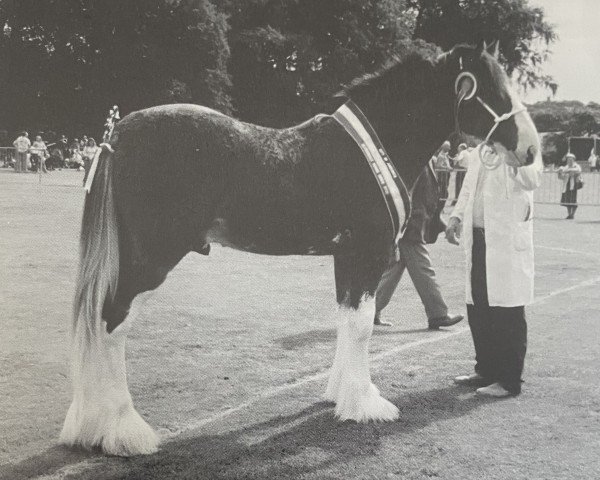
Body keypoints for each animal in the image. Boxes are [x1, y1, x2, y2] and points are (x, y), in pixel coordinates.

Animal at [59, 42, 540, 458]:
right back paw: (122, 431)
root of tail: (118, 135)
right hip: (150, 259)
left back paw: (86, 427)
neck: (373, 149)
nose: (533, 149)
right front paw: (366, 405)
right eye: (494, 90)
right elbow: (362, 326)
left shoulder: (346, 256)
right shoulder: (368, 252)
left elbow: (347, 318)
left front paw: (340, 395)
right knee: (111, 323)